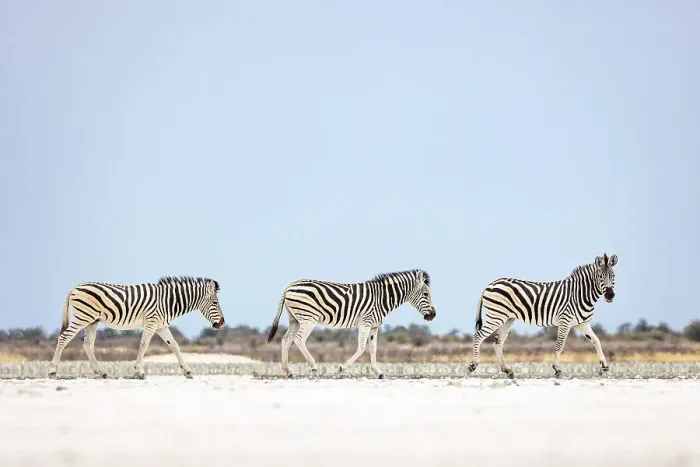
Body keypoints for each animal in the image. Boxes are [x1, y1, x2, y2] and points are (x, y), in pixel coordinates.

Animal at [49, 276, 225, 380]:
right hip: (82, 318)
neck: (168, 301)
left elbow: (175, 346)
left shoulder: (161, 326)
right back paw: (52, 371)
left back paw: (101, 372)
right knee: (63, 338)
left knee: (87, 345)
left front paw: (187, 371)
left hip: (92, 321)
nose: (222, 323)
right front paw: (139, 371)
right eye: (215, 303)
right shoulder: (152, 322)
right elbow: (144, 345)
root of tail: (74, 288)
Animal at [266, 269, 437, 379]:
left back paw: (288, 372)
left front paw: (378, 372)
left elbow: (373, 348)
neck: (382, 298)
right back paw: (314, 367)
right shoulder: (365, 322)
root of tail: (290, 286)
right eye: (426, 294)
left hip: (295, 319)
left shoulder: (374, 325)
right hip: (308, 318)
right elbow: (361, 348)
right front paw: (341, 368)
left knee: (286, 340)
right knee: (299, 340)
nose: (433, 315)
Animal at [469, 253, 618, 379]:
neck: (580, 294)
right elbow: (559, 345)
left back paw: (508, 370)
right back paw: (473, 366)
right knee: (478, 336)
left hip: (507, 318)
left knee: (497, 343)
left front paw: (605, 366)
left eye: (613, 276)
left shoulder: (582, 324)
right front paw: (557, 369)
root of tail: (490, 284)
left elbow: (596, 341)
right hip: (496, 316)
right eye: (600, 277)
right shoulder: (565, 321)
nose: (610, 295)